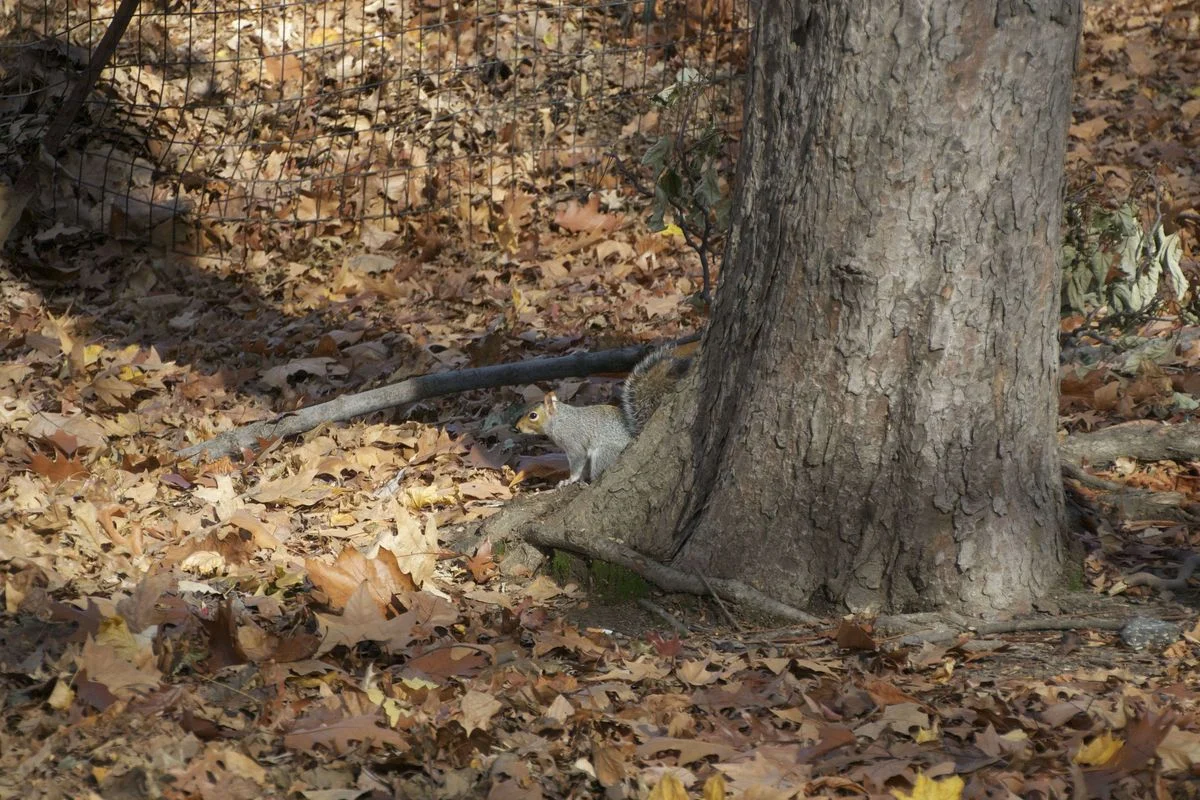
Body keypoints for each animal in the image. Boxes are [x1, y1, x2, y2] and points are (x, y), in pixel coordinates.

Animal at [516, 346, 693, 485]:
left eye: (533, 415)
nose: (517, 427)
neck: (559, 420)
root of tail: (634, 436)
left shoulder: (574, 443)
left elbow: (577, 462)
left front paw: (570, 480)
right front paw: (577, 479)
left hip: (604, 452)